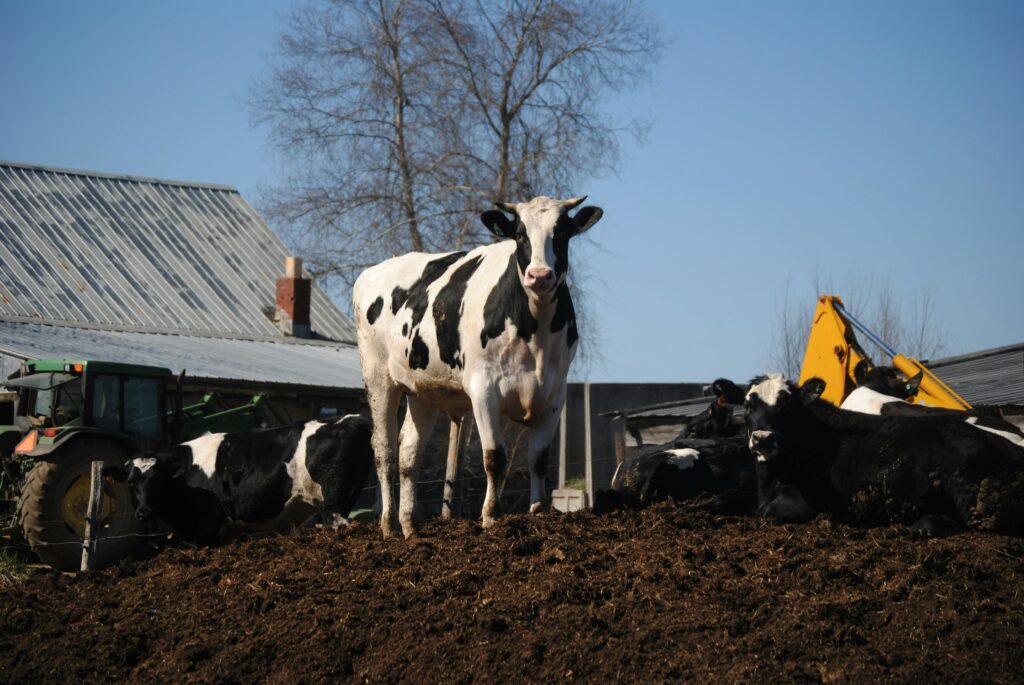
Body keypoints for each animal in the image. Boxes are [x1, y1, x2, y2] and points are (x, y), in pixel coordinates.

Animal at [106, 415, 373, 546]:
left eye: (158, 482)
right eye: (131, 483)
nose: (143, 513)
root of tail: (352, 419)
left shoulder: (207, 531)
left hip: (333, 505)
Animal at [353, 195, 602, 538]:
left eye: (562, 233)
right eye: (520, 235)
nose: (539, 276)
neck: (533, 330)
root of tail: (373, 271)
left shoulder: (555, 392)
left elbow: (539, 458)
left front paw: (538, 511)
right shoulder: (484, 390)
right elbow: (495, 456)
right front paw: (491, 516)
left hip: (422, 391)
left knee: (408, 453)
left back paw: (410, 528)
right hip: (377, 378)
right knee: (384, 450)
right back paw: (389, 526)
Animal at [745, 373, 1024, 535]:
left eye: (787, 405)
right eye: (748, 406)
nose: (762, 438)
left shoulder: (808, 504)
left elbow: (768, 515)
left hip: (977, 502)